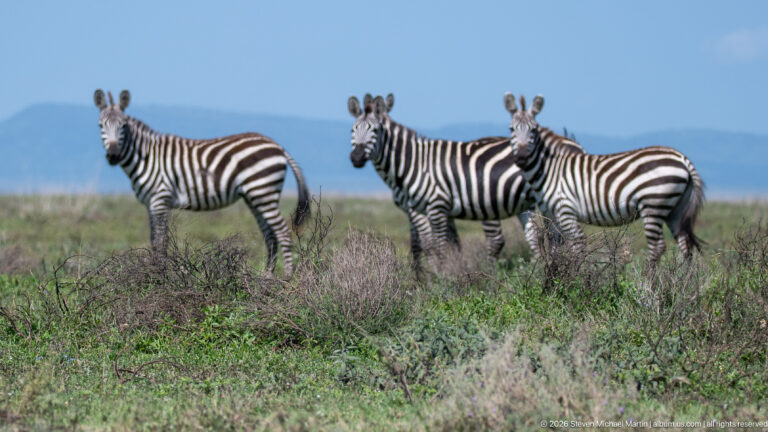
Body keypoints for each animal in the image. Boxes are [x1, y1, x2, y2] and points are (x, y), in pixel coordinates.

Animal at [93, 89, 310, 277]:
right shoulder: (150, 204)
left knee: (282, 232)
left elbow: (160, 241)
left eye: (123, 126)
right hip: (256, 196)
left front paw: (160, 274)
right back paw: (267, 277)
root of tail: (278, 146)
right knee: (270, 235)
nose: (113, 156)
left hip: (262, 191)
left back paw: (287, 277)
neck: (145, 156)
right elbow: (154, 239)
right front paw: (156, 271)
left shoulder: (160, 199)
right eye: (100, 126)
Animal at [346, 93, 584, 262]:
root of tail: (572, 144)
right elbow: (441, 245)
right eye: (352, 130)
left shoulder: (431, 206)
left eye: (375, 130)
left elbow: (431, 246)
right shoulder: (430, 209)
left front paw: (435, 279)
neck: (413, 160)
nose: (356, 157)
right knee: (542, 237)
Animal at [503, 92, 704, 267]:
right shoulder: (552, 216)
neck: (550, 169)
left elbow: (578, 248)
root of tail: (682, 159)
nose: (522, 158)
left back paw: (649, 282)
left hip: (653, 205)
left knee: (658, 247)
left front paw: (578, 281)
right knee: (685, 245)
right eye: (511, 129)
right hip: (676, 209)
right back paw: (683, 283)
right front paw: (552, 278)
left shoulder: (566, 210)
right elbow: (555, 251)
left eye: (533, 130)